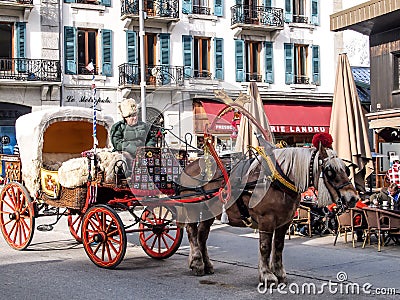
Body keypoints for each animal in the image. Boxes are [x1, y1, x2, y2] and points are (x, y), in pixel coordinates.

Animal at [177, 143, 358, 286]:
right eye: (330, 171)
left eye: (346, 170)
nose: (353, 198)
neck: (277, 180)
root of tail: (190, 167)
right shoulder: (267, 220)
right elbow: (265, 247)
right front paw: (267, 275)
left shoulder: (284, 222)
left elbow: (278, 246)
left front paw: (279, 272)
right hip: (193, 209)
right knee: (192, 233)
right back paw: (197, 263)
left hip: (208, 212)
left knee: (202, 236)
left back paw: (206, 264)